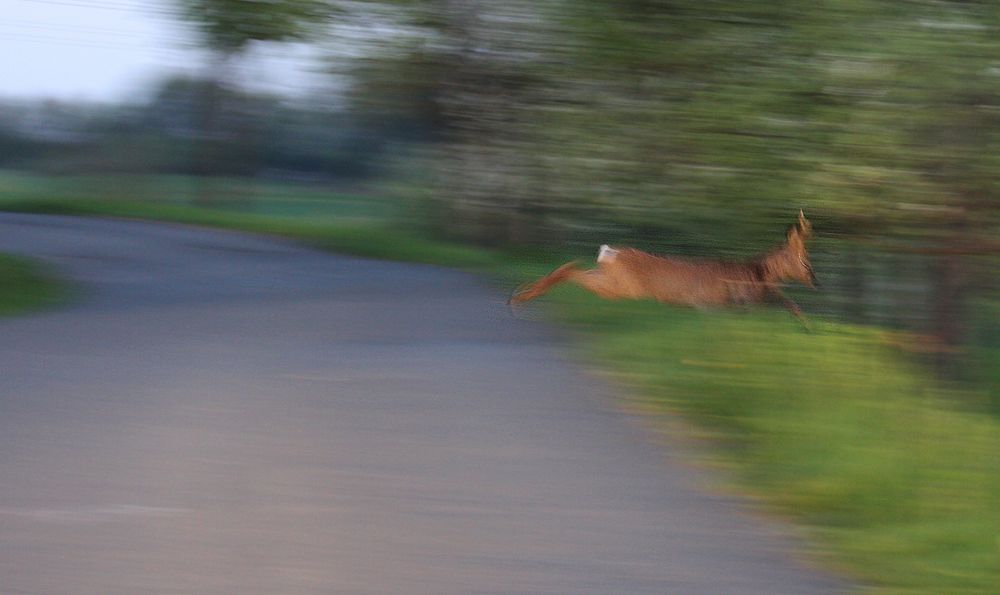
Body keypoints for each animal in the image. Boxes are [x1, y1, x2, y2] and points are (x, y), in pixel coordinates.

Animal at [512, 211, 816, 330]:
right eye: (805, 261)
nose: (815, 280)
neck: (753, 273)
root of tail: (610, 253)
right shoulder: (713, 304)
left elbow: (784, 301)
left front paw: (805, 325)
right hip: (623, 289)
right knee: (571, 270)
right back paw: (520, 298)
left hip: (613, 281)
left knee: (573, 267)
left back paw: (519, 295)